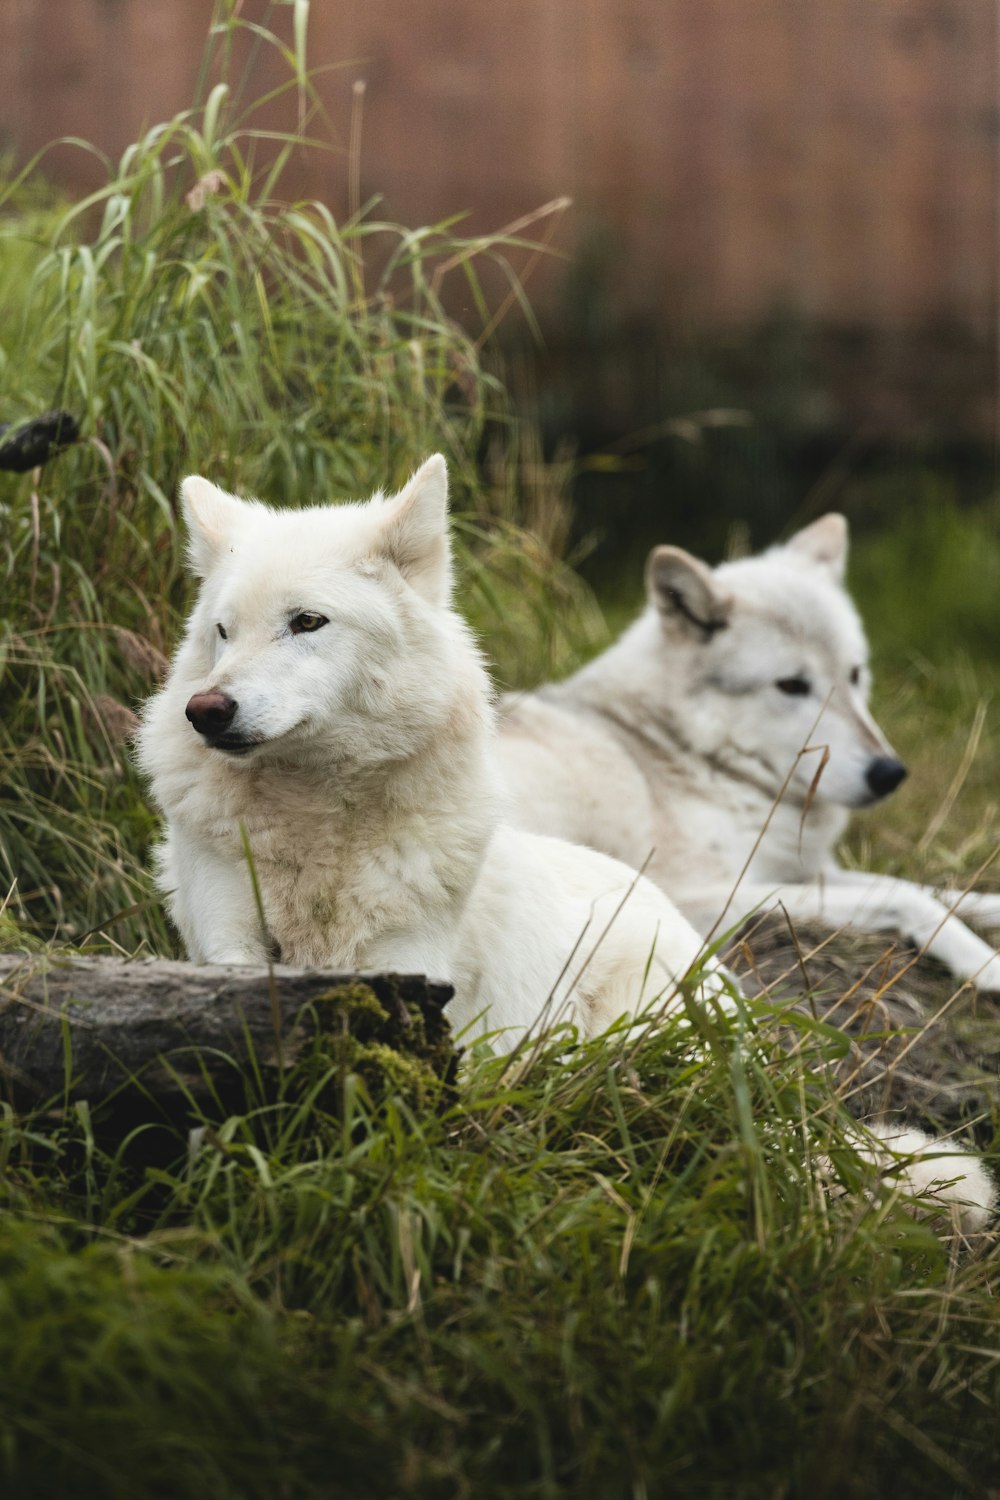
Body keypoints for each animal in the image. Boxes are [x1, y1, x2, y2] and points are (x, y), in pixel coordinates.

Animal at [500, 516, 1000, 996]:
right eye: (792, 685)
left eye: (855, 674)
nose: (889, 774)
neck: (691, 752)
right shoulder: (709, 895)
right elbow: (908, 897)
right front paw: (987, 964)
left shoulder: (804, 869)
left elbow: (920, 887)